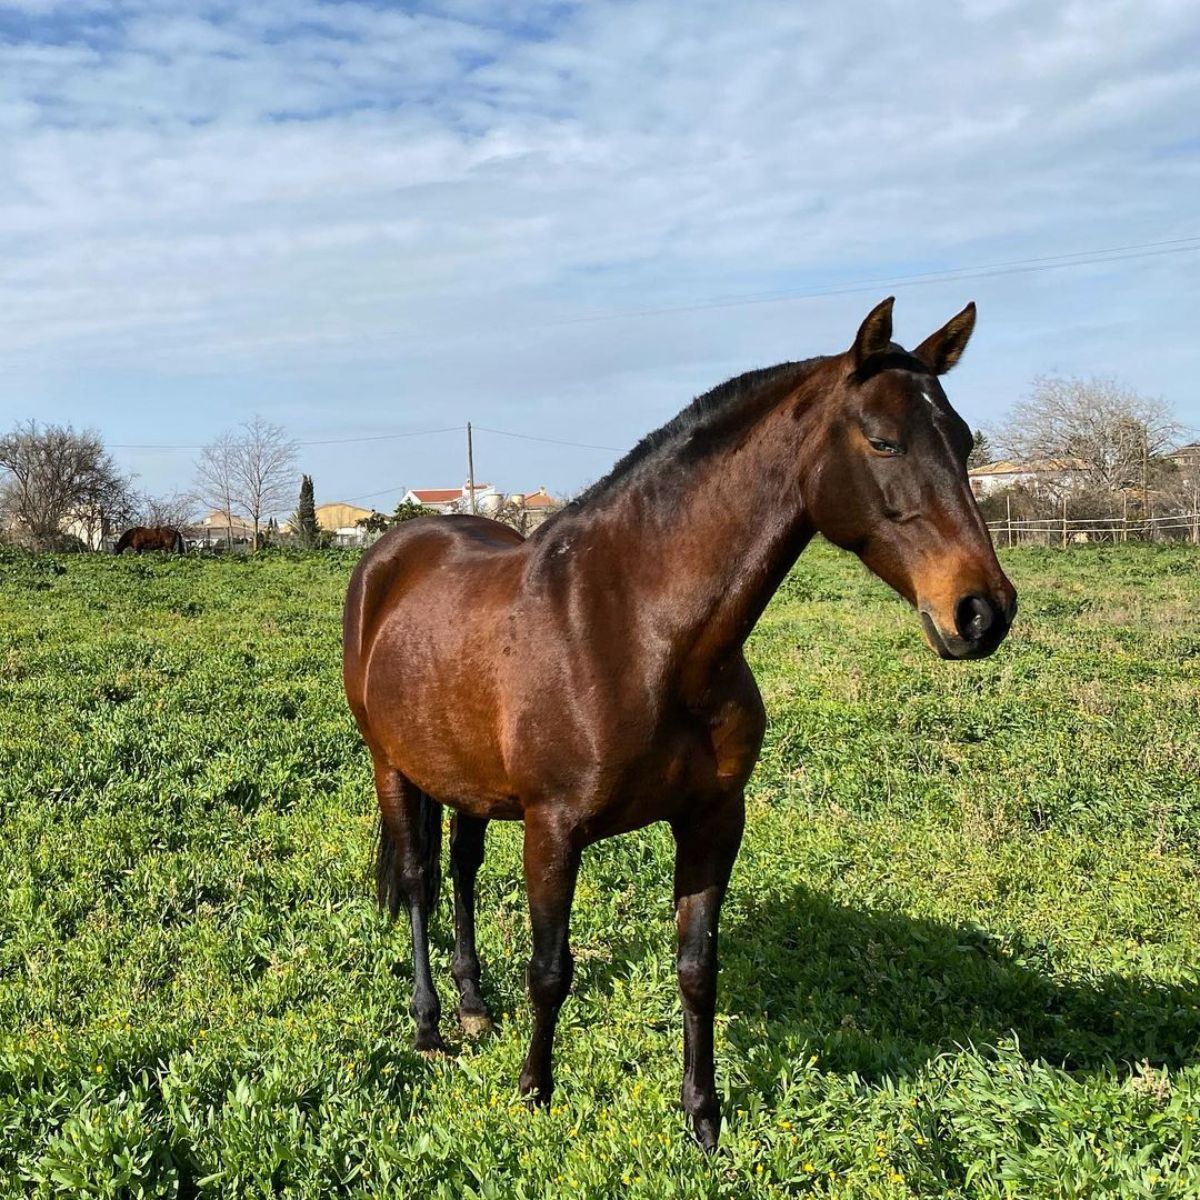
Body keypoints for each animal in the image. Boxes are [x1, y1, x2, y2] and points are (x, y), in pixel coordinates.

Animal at [343, 295, 1017, 1147]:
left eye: (962, 440)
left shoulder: (712, 819)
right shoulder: (553, 829)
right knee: (420, 883)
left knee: (461, 872)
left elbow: (698, 968)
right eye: (882, 439)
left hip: (467, 779)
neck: (640, 630)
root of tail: (392, 552)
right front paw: (535, 1093)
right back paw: (430, 1024)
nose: (982, 611)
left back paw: (471, 1006)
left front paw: (703, 1116)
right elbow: (549, 969)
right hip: (391, 765)